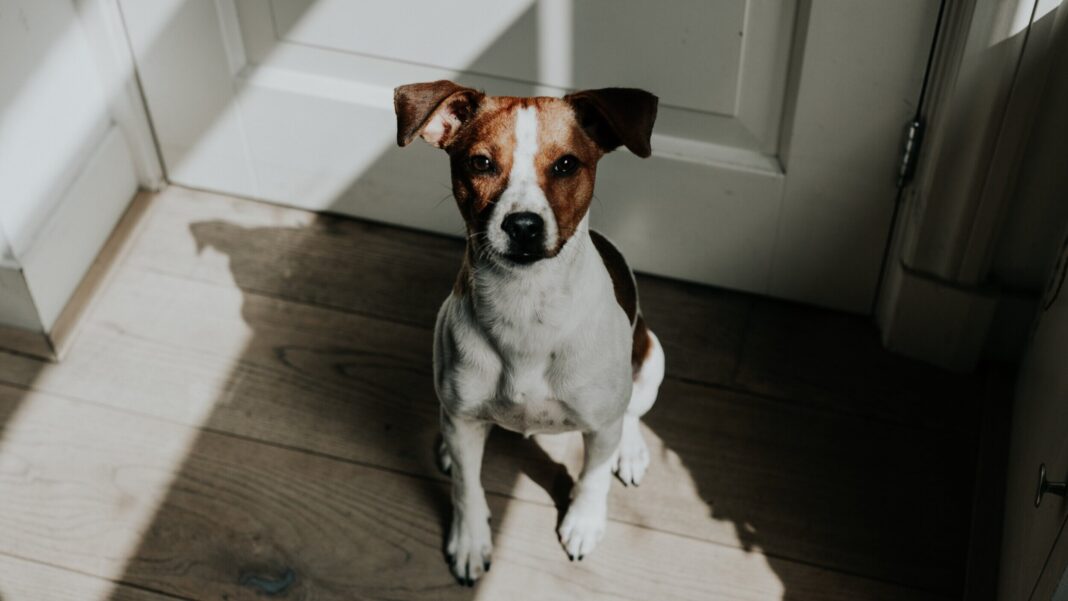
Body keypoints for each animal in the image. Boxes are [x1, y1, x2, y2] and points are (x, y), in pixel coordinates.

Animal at [395, 81, 657, 589]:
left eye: (566, 164)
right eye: (480, 163)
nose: (522, 225)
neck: (526, 304)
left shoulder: (601, 425)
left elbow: (593, 476)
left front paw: (583, 522)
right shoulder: (463, 415)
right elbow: (466, 486)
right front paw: (470, 539)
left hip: (653, 359)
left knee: (633, 412)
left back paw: (631, 451)